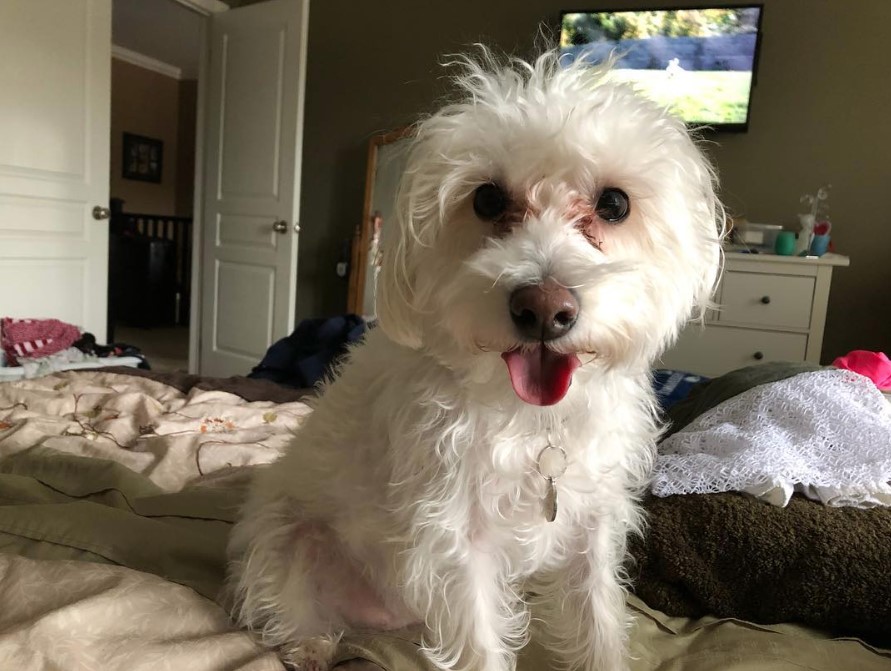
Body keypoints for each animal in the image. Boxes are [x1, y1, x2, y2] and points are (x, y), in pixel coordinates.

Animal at [230, 48, 724, 671]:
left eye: (614, 204)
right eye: (487, 199)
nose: (544, 309)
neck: (534, 418)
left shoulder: (593, 520)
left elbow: (598, 617)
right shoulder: (458, 537)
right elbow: (482, 642)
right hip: (287, 537)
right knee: (289, 602)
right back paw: (310, 642)